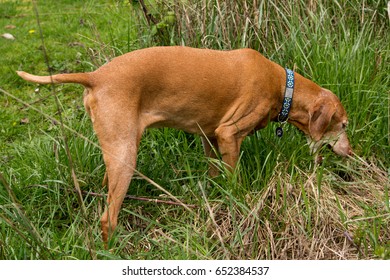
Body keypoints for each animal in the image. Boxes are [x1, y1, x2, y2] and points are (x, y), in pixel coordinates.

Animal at [17, 47, 354, 246]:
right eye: (344, 125)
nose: (351, 153)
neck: (283, 87)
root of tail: (96, 75)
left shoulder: (210, 136)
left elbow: (214, 174)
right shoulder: (229, 134)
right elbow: (234, 181)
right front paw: (238, 205)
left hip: (116, 150)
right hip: (126, 155)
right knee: (107, 219)